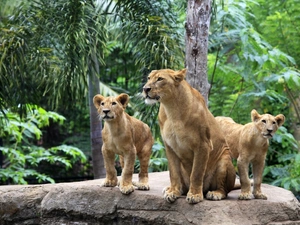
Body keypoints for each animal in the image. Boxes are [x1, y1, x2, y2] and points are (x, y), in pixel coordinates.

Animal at [142, 68, 236, 204]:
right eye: (149, 78)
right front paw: (173, 192)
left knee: (224, 189)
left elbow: (196, 173)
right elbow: (173, 173)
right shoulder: (169, 146)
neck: (171, 108)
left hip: (224, 160)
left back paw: (215, 193)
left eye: (160, 79)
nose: (145, 89)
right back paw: (172, 189)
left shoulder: (203, 145)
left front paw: (195, 195)